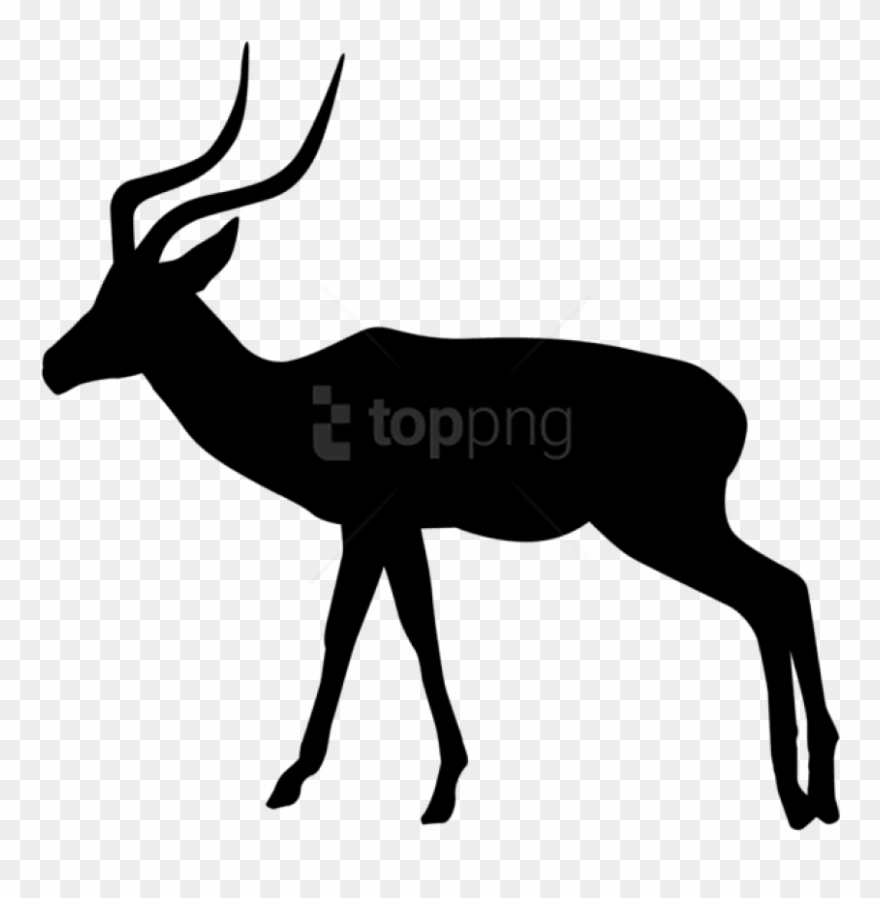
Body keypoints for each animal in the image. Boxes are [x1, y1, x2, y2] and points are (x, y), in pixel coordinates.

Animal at [42, 45, 839, 828]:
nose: (53, 365)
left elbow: (346, 631)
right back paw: (816, 797)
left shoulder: (369, 522)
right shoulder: (401, 528)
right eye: (104, 289)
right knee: (783, 590)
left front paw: (300, 778)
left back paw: (800, 796)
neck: (295, 395)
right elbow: (418, 629)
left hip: (660, 523)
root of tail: (733, 409)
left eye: (139, 302)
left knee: (774, 591)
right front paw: (443, 783)